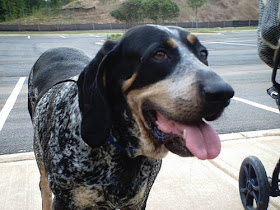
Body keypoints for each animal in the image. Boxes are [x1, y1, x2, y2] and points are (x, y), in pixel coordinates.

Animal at [28, 25, 234, 210]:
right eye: (159, 54)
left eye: (203, 54)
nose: (224, 94)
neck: (121, 152)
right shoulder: (65, 200)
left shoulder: (138, 200)